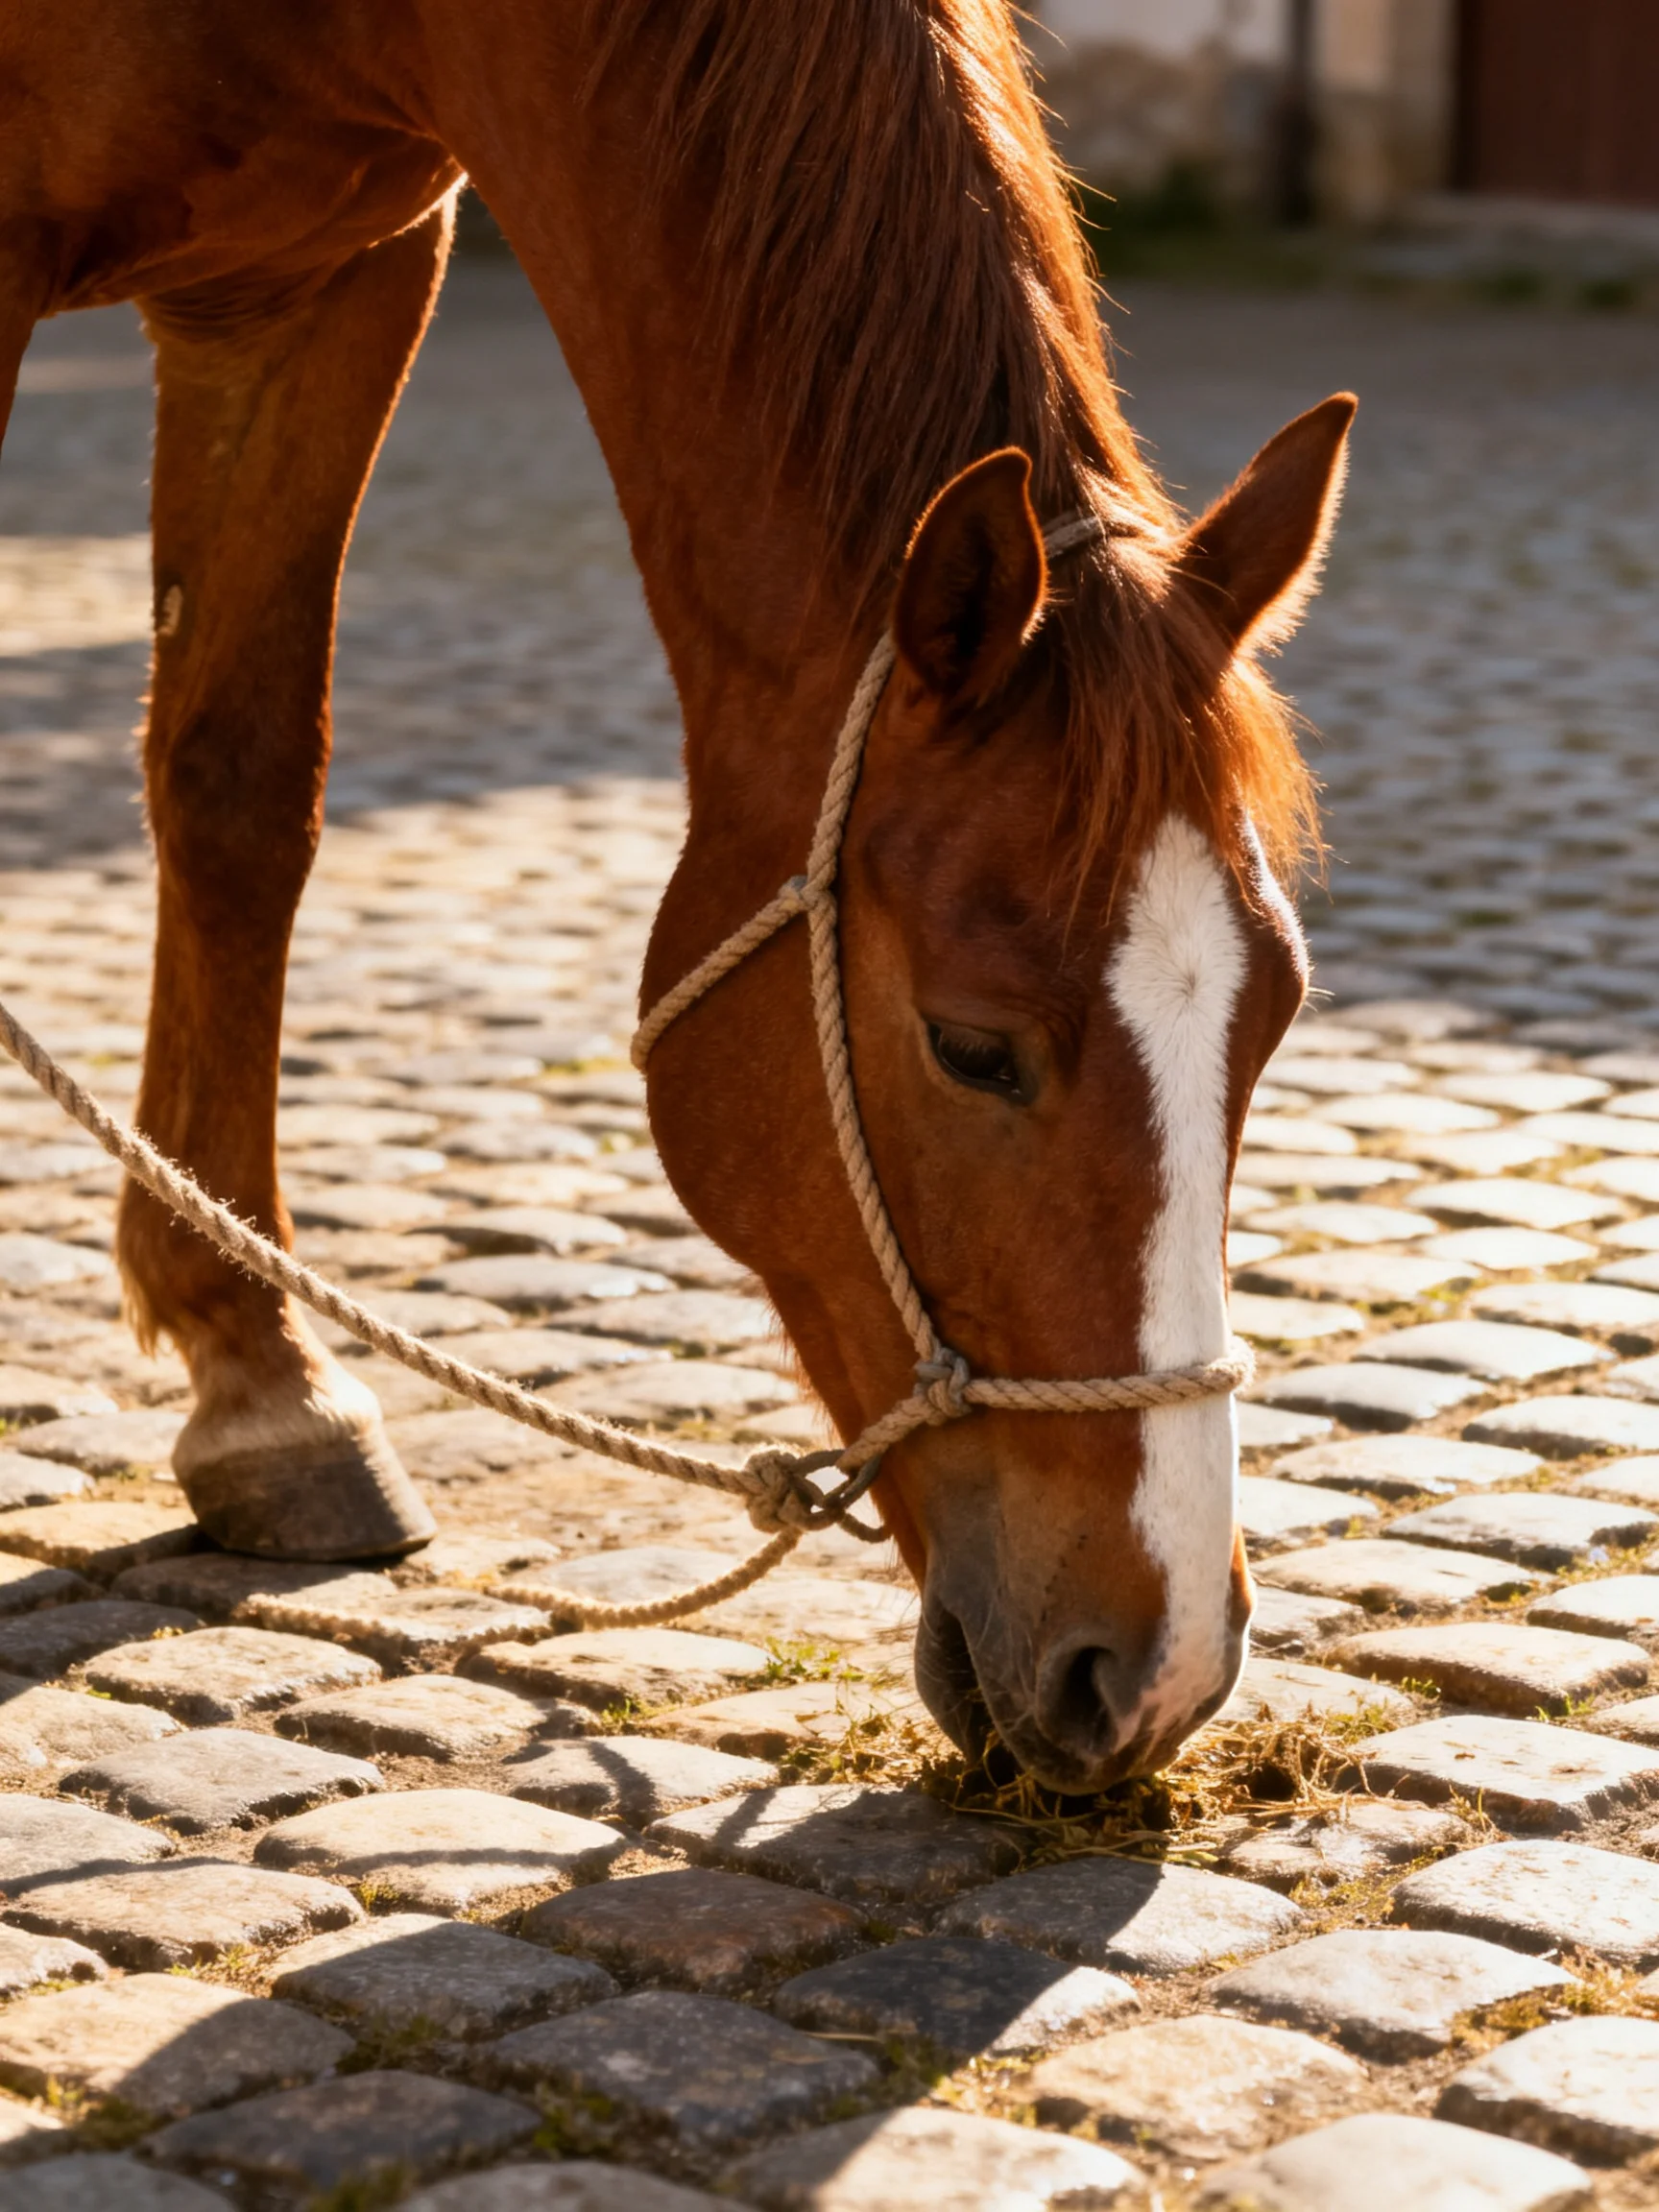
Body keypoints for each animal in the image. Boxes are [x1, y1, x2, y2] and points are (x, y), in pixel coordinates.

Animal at [0, 0, 1354, 1791]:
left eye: (1269, 1019)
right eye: (970, 1044)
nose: (1153, 1673)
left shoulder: (326, 275)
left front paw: (265, 1375)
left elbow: (238, 789)